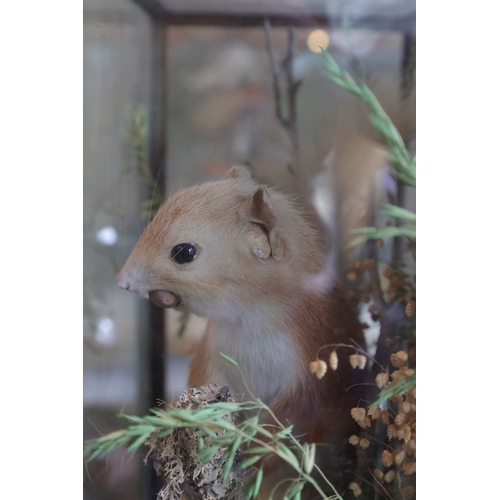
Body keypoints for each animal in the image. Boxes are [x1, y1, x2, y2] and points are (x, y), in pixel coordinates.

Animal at [117, 167, 368, 496]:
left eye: (184, 252)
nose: (123, 282)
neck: (250, 321)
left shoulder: (313, 375)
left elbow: (290, 423)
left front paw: (245, 452)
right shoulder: (212, 357)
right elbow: (207, 387)